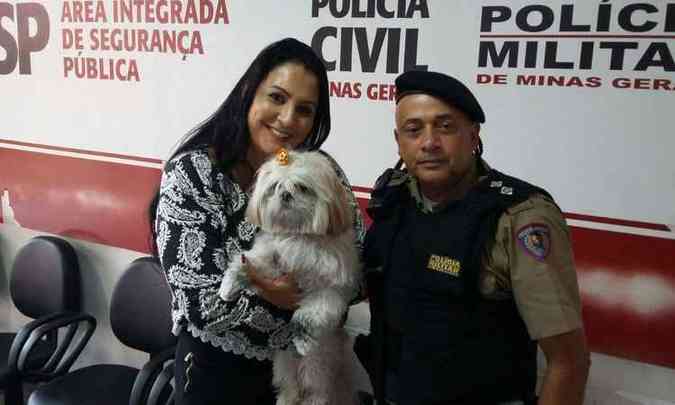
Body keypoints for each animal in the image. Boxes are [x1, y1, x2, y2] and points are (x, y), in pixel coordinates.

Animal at [219, 148, 362, 404]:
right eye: (275, 187)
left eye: (302, 187)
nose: (285, 195)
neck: (298, 236)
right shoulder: (272, 259)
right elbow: (247, 263)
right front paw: (231, 284)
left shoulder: (328, 292)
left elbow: (306, 316)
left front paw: (302, 340)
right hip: (285, 368)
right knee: (290, 390)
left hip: (317, 371)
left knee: (316, 394)